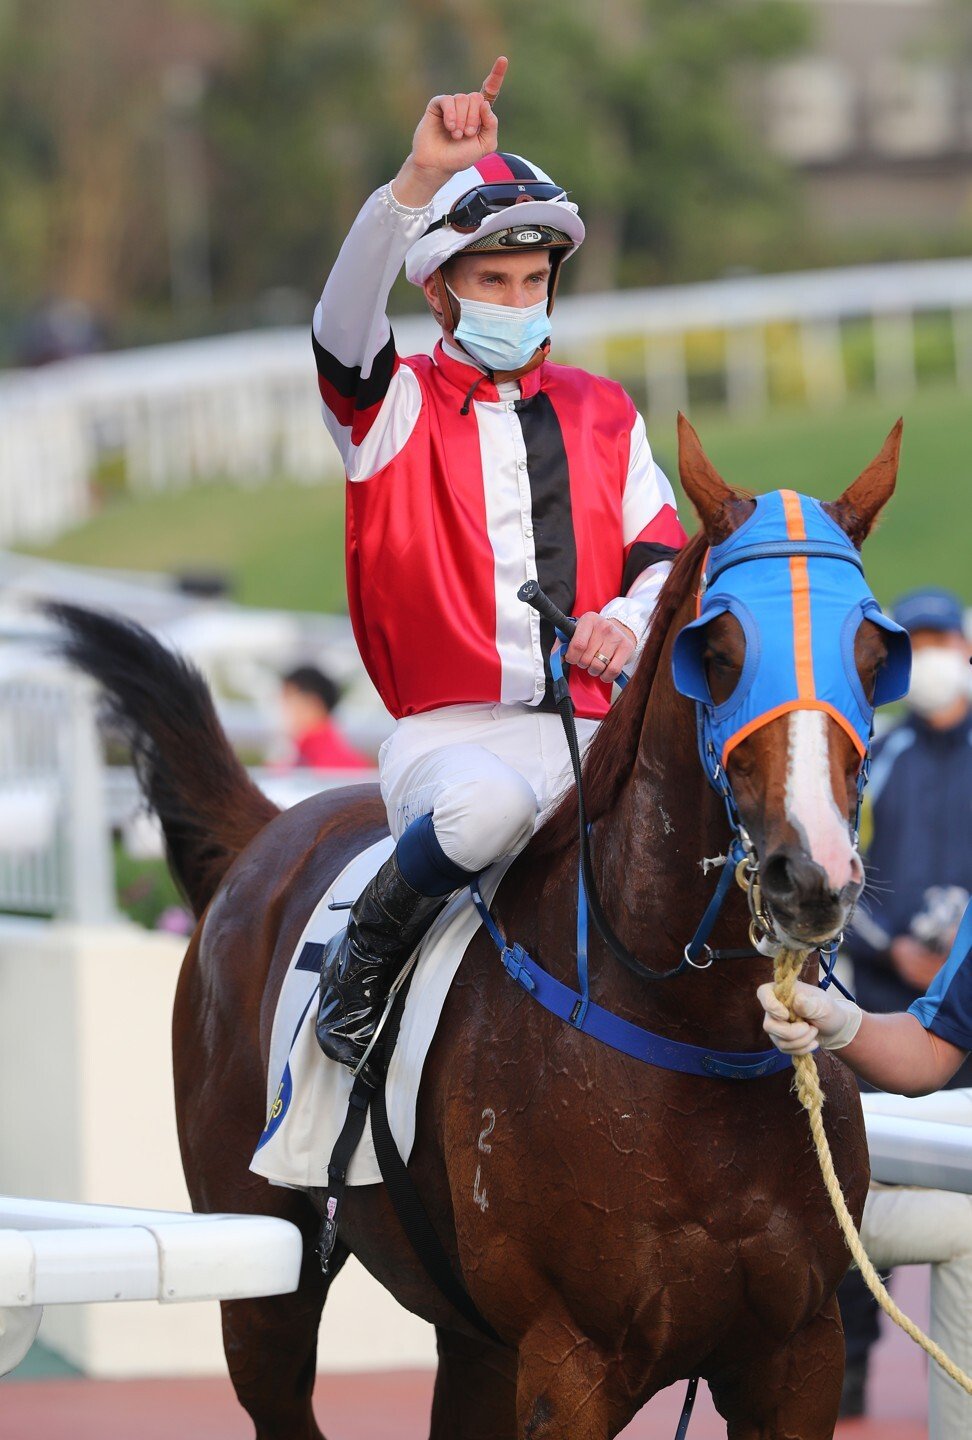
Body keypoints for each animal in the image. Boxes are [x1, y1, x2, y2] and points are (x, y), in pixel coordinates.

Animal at [53, 411, 904, 1434]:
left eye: (874, 657)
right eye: (721, 651)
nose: (810, 871)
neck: (697, 1042)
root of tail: (268, 828)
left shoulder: (799, 1352)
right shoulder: (569, 1363)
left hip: (473, 1343)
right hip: (264, 1274)